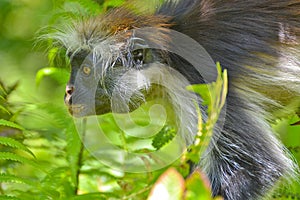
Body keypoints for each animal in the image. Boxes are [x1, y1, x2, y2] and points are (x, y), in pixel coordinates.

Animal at [45, 0, 300, 200]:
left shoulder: (201, 83)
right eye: (74, 66)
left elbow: (254, 168)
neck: (169, 55)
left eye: (87, 71)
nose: (69, 91)